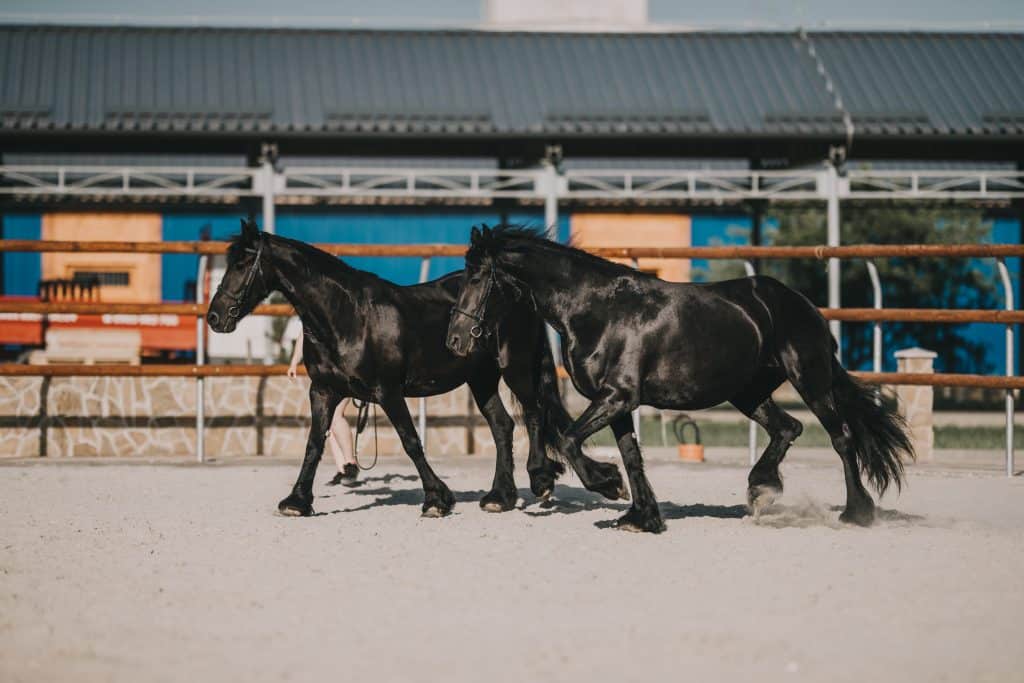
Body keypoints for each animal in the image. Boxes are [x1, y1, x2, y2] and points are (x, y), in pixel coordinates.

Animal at [205, 219, 622, 518]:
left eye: (242, 262)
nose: (214, 317)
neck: (345, 317)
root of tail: (518, 291)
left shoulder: (387, 392)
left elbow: (411, 442)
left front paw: (437, 499)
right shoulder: (323, 391)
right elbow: (314, 444)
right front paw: (297, 501)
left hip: (514, 367)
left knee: (534, 414)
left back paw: (541, 480)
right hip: (481, 378)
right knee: (503, 426)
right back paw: (499, 496)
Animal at [446, 228, 913, 532]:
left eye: (477, 277)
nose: (454, 339)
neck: (595, 310)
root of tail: (803, 305)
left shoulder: (618, 397)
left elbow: (571, 439)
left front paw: (606, 485)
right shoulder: (616, 403)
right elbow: (631, 456)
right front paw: (641, 517)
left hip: (809, 381)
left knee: (842, 438)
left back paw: (856, 513)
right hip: (747, 393)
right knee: (788, 427)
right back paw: (761, 490)